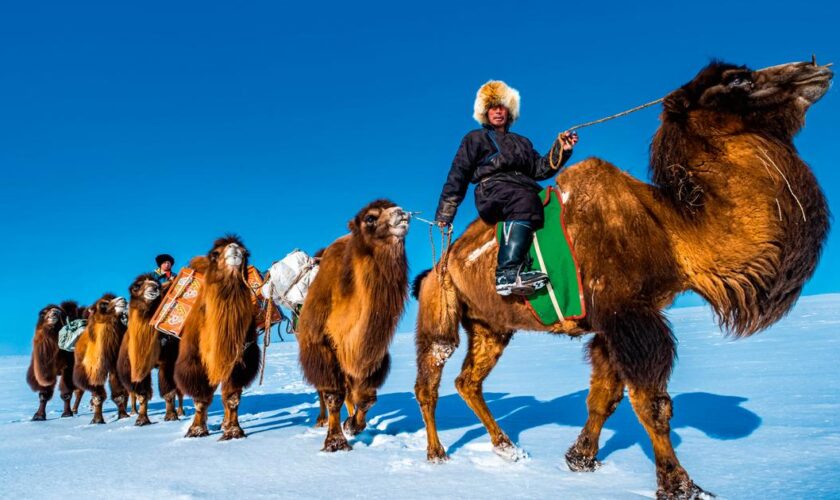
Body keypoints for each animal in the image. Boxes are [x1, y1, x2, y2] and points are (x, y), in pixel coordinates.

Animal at [115, 274, 185, 426]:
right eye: (136, 286)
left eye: (157, 283)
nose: (154, 287)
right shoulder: (135, 368)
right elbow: (142, 394)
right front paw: (141, 419)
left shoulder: (167, 362)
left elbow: (169, 392)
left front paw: (171, 416)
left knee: (180, 391)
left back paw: (181, 412)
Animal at [298, 200, 410, 454]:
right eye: (370, 218)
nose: (401, 213)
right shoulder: (321, 347)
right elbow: (333, 395)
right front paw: (335, 442)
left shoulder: (372, 356)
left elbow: (366, 397)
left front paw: (353, 425)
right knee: (324, 391)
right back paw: (321, 420)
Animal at [410, 59, 832, 500]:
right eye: (737, 79)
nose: (812, 69)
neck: (670, 231)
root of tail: (436, 268)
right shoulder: (629, 316)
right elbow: (653, 404)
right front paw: (682, 486)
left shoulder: (614, 324)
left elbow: (604, 397)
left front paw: (581, 460)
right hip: (441, 311)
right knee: (431, 377)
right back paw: (437, 454)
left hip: (490, 326)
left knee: (468, 381)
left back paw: (508, 449)